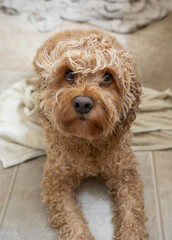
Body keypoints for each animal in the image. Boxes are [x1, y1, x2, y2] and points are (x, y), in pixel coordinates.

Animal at [33, 29, 148, 239]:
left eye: (108, 77)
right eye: (69, 74)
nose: (82, 103)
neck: (88, 142)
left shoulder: (126, 175)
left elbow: (131, 214)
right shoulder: (56, 181)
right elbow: (72, 221)